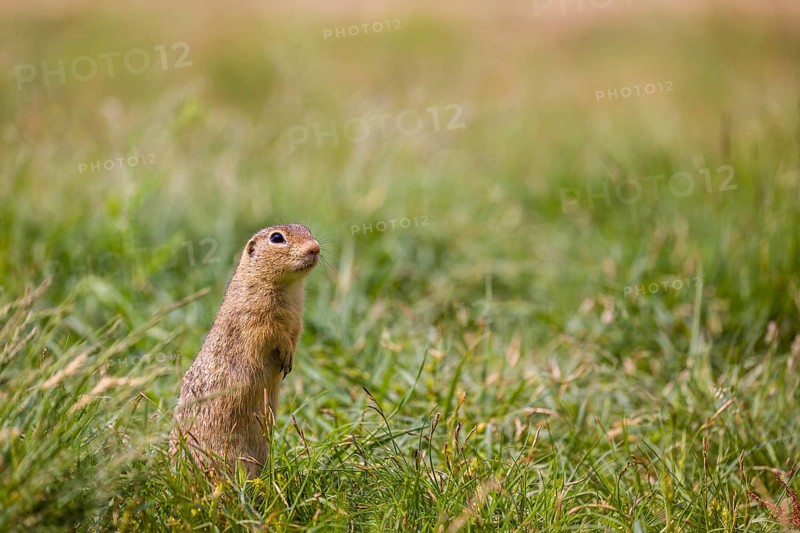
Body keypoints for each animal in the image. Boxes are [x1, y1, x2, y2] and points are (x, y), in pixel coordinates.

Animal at [170, 224, 320, 477]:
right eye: (277, 238)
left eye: (308, 230)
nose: (315, 247)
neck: (289, 289)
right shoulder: (256, 317)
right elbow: (271, 334)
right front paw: (286, 354)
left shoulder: (297, 320)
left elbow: (294, 335)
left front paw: (290, 358)